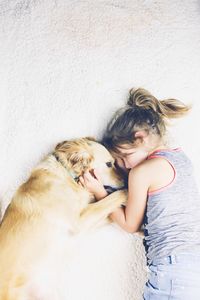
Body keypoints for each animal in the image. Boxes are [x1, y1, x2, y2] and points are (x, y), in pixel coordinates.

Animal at [0, 138, 126, 300]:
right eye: (109, 164)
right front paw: (128, 193)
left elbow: (110, 213)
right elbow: (113, 198)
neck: (67, 176)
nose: (126, 180)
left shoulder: (83, 225)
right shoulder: (79, 221)